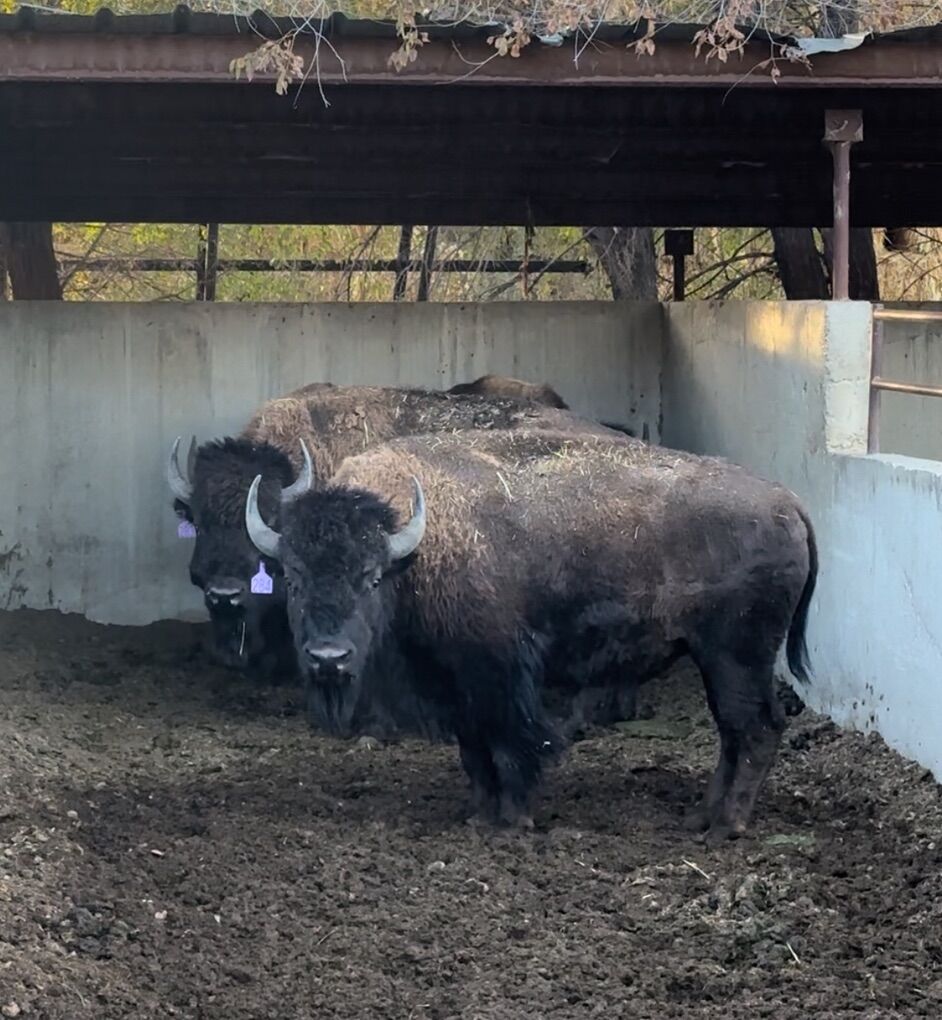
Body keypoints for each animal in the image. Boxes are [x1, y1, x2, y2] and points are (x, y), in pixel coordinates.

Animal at [245, 428, 817, 841]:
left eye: (371, 577)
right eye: (292, 577)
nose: (328, 658)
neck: (417, 548)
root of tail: (788, 502)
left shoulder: (500, 674)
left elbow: (513, 743)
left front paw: (513, 821)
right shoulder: (457, 685)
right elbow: (474, 751)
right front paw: (477, 815)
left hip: (735, 657)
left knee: (757, 728)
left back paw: (725, 827)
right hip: (717, 660)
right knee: (734, 731)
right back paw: (700, 816)